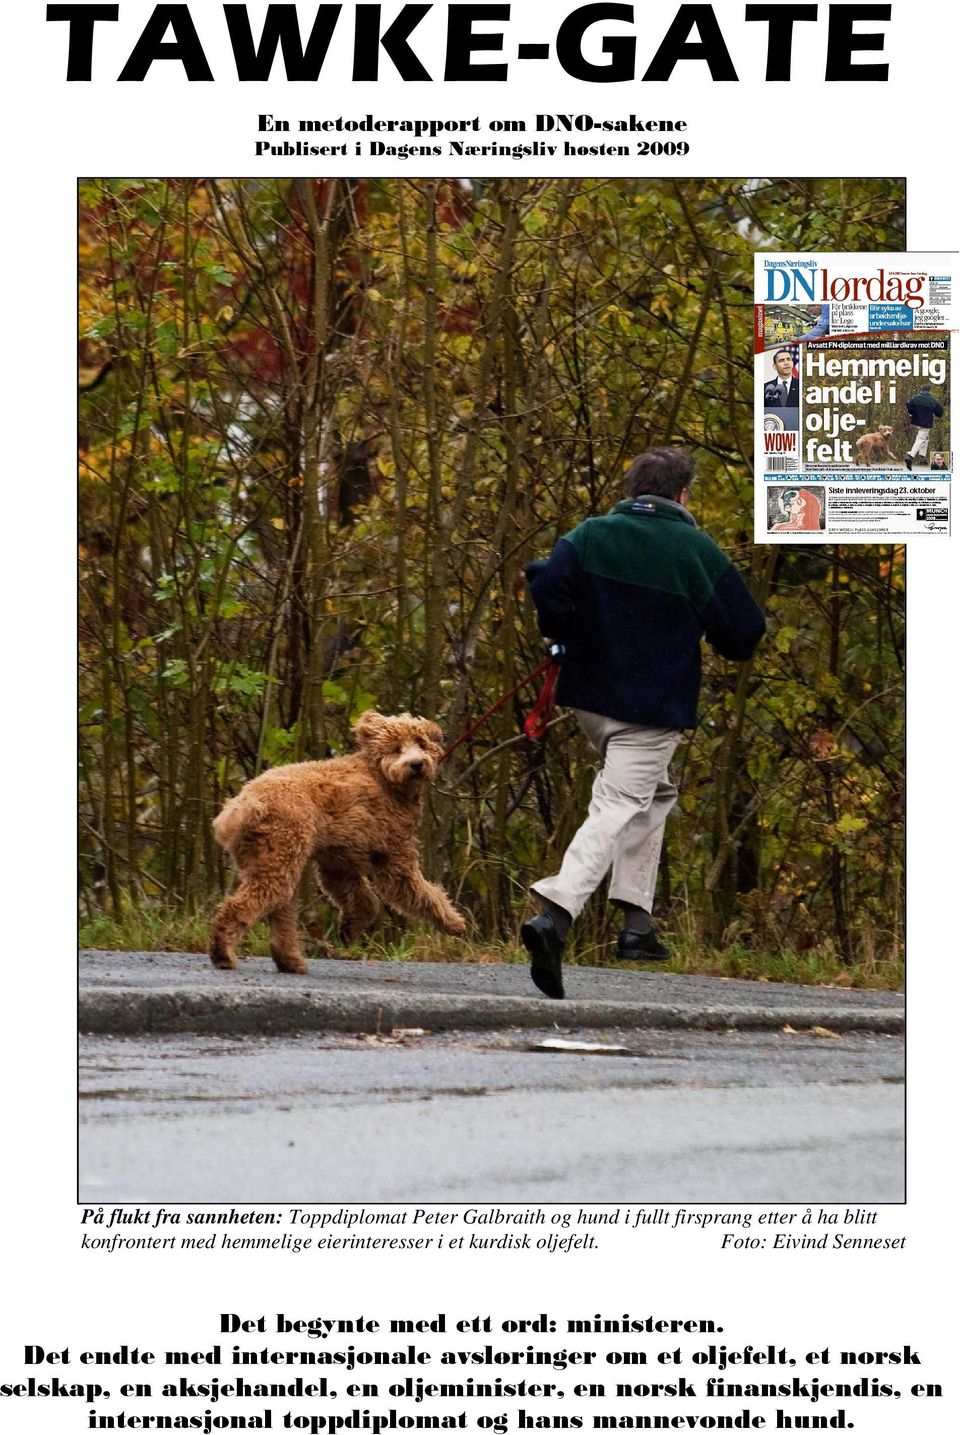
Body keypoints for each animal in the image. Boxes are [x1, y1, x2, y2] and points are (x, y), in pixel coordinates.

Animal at [208, 708, 464, 975]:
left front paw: (350, 928)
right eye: (396, 749)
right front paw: (453, 922)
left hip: (273, 863)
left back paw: (291, 962)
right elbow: (424, 893)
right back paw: (223, 953)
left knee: (280, 915)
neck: (383, 777)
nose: (416, 764)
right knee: (240, 906)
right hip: (280, 857)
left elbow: (365, 901)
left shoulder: (338, 864)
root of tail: (245, 804)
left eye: (421, 743)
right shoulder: (395, 859)